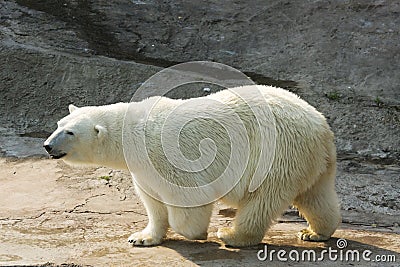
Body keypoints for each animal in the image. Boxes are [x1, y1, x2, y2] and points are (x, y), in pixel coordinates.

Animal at [43, 85, 340, 247]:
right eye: (58, 124)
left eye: (70, 132)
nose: (47, 146)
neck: (133, 133)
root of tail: (321, 125)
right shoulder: (143, 169)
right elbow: (152, 201)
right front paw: (142, 237)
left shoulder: (167, 156)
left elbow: (187, 197)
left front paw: (197, 232)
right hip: (307, 159)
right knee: (316, 195)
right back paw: (314, 232)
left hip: (276, 153)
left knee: (262, 199)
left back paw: (231, 234)